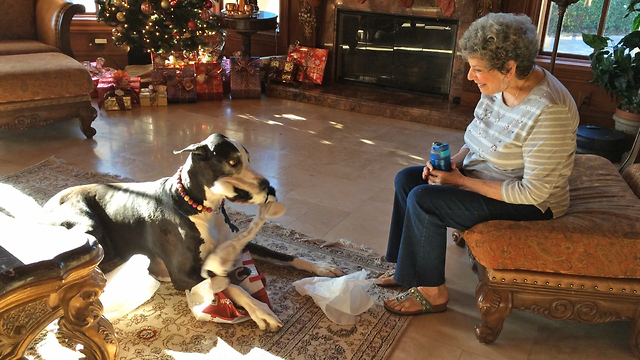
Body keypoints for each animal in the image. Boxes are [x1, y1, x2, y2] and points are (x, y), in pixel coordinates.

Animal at [1, 135, 344, 332]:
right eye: (233, 162)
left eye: (249, 158)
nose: (270, 187)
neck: (201, 206)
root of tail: (41, 209)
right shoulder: (183, 274)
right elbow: (231, 287)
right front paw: (259, 309)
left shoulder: (241, 242)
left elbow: (284, 254)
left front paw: (321, 266)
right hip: (87, 229)